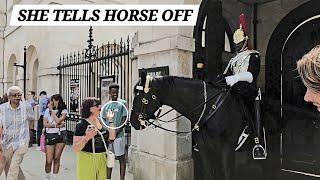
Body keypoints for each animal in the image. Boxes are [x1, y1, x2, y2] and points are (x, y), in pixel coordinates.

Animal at [130, 73, 282, 180]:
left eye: (139, 96)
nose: (132, 122)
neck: (211, 108)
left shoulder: (226, 148)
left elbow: (227, 174)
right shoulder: (205, 149)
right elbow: (210, 174)